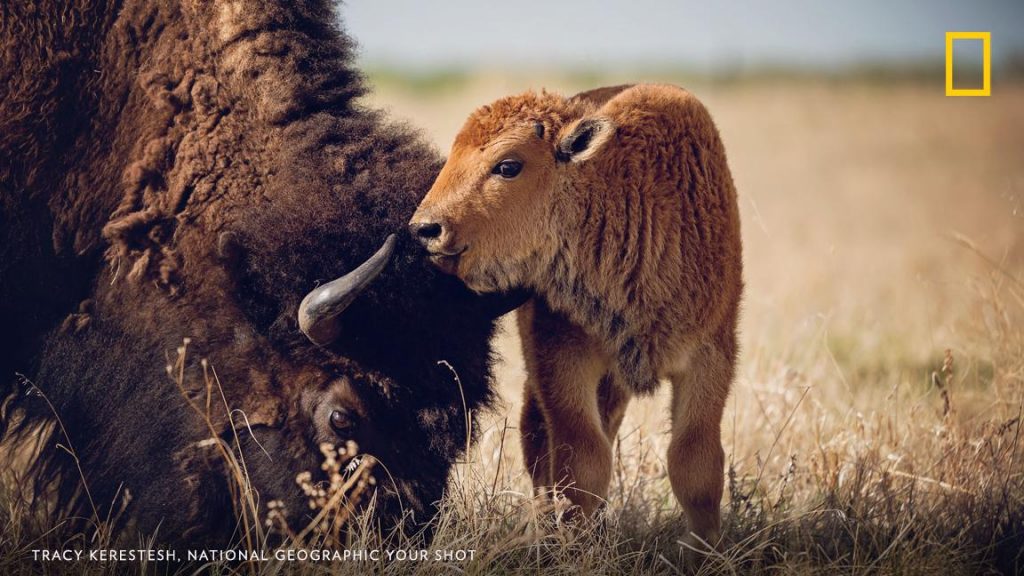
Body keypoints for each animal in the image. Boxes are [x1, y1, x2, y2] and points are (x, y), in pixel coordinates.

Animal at [409, 83, 743, 544]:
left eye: (508, 166)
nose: (425, 228)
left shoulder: (709, 357)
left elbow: (696, 466)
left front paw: (704, 552)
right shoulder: (561, 357)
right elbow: (582, 463)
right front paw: (574, 545)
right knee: (537, 440)